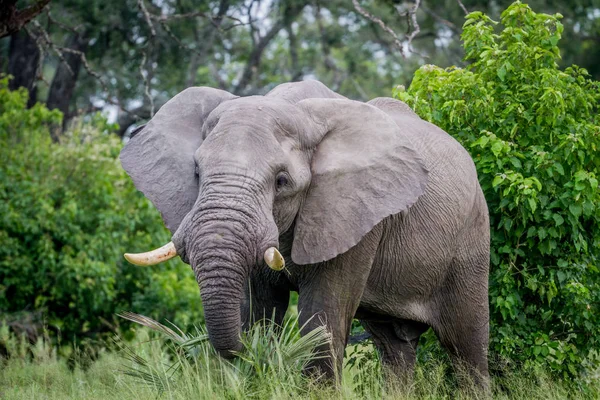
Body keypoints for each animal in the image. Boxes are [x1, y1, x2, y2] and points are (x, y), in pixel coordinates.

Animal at [119, 79, 490, 390]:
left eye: (281, 181)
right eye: (196, 172)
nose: (243, 351)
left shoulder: (353, 215)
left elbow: (321, 320)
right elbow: (260, 308)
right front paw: (257, 356)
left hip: (471, 239)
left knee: (466, 345)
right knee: (394, 347)